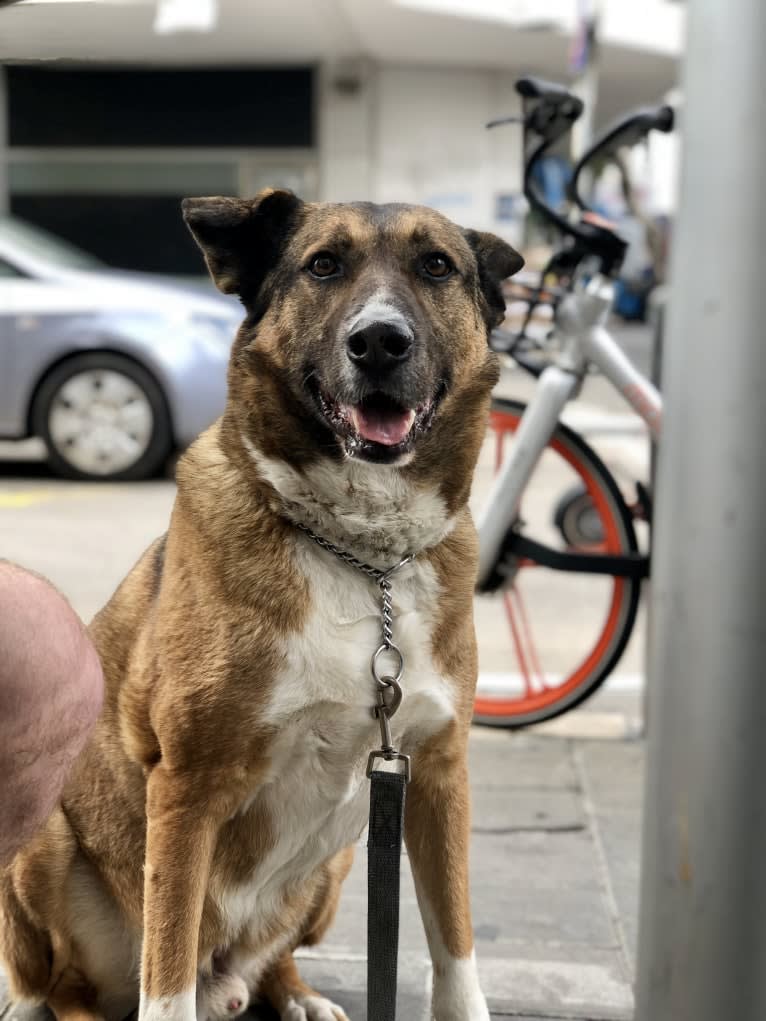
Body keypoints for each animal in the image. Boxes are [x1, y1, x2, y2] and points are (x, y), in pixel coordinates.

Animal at [0, 191, 522, 1021]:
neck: (363, 554)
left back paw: (295, 992)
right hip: (43, 839)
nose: (380, 341)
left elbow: (456, 951)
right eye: (323, 265)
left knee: (270, 957)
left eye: (437, 265)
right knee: (68, 985)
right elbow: (166, 976)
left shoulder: (437, 775)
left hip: (337, 865)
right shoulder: (186, 786)